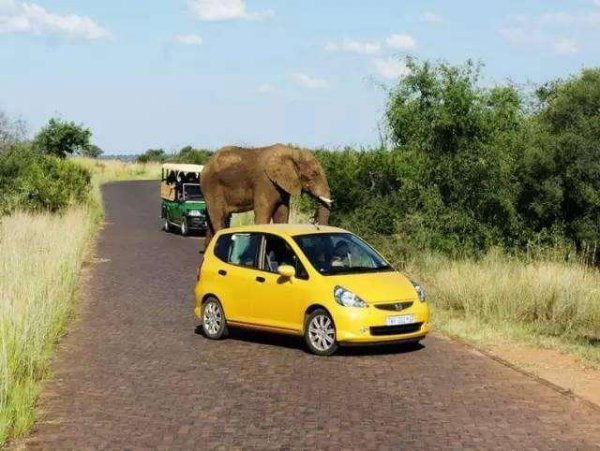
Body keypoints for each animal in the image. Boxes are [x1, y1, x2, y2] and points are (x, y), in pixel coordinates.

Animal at [202, 143, 332, 245]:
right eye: (313, 175)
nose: (315, 222)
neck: (292, 153)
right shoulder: (265, 182)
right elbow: (263, 212)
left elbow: (282, 213)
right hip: (212, 186)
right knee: (218, 216)